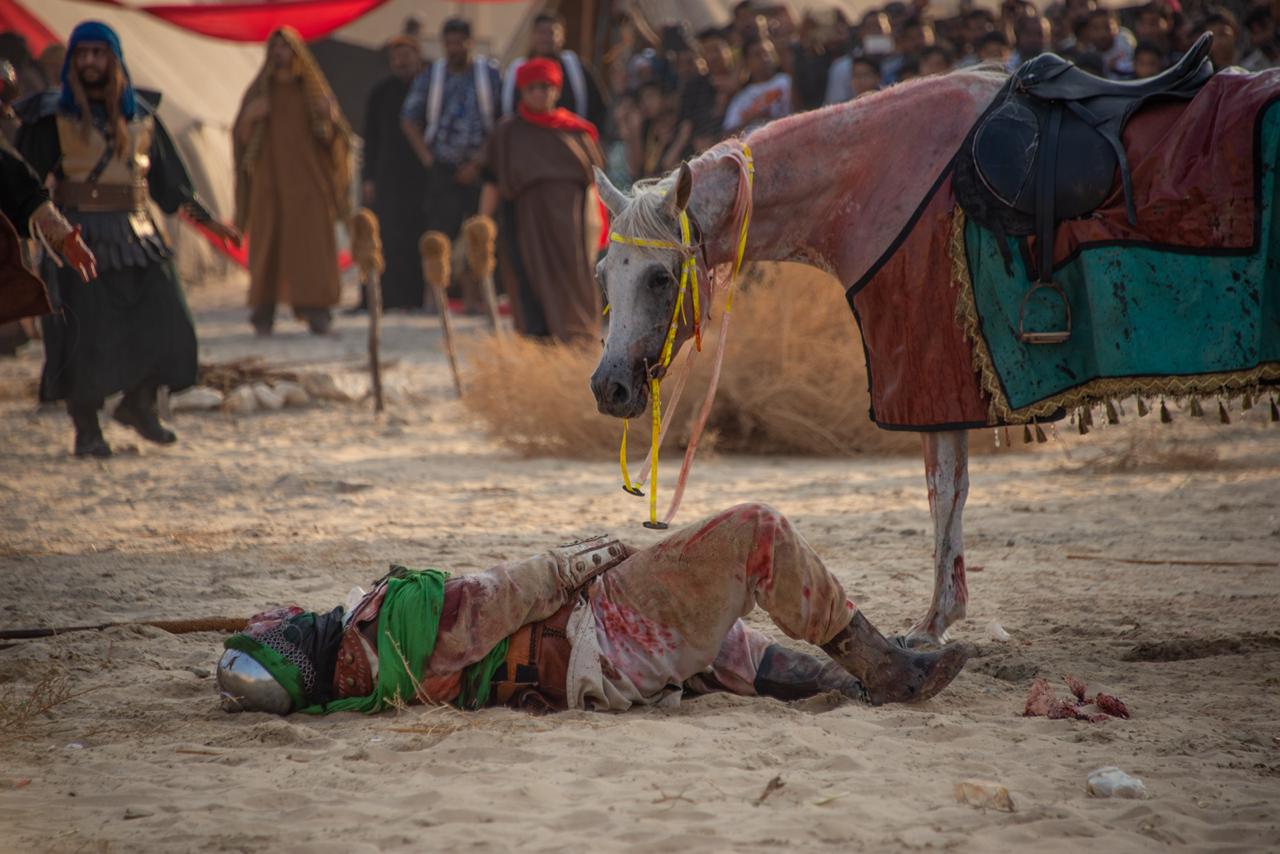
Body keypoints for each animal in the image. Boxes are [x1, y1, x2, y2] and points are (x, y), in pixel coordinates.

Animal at [589, 64, 1280, 648]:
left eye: (659, 278)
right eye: (602, 275)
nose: (608, 387)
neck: (879, 174)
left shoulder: (933, 375)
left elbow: (943, 490)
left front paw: (933, 623)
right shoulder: (942, 380)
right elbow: (949, 489)